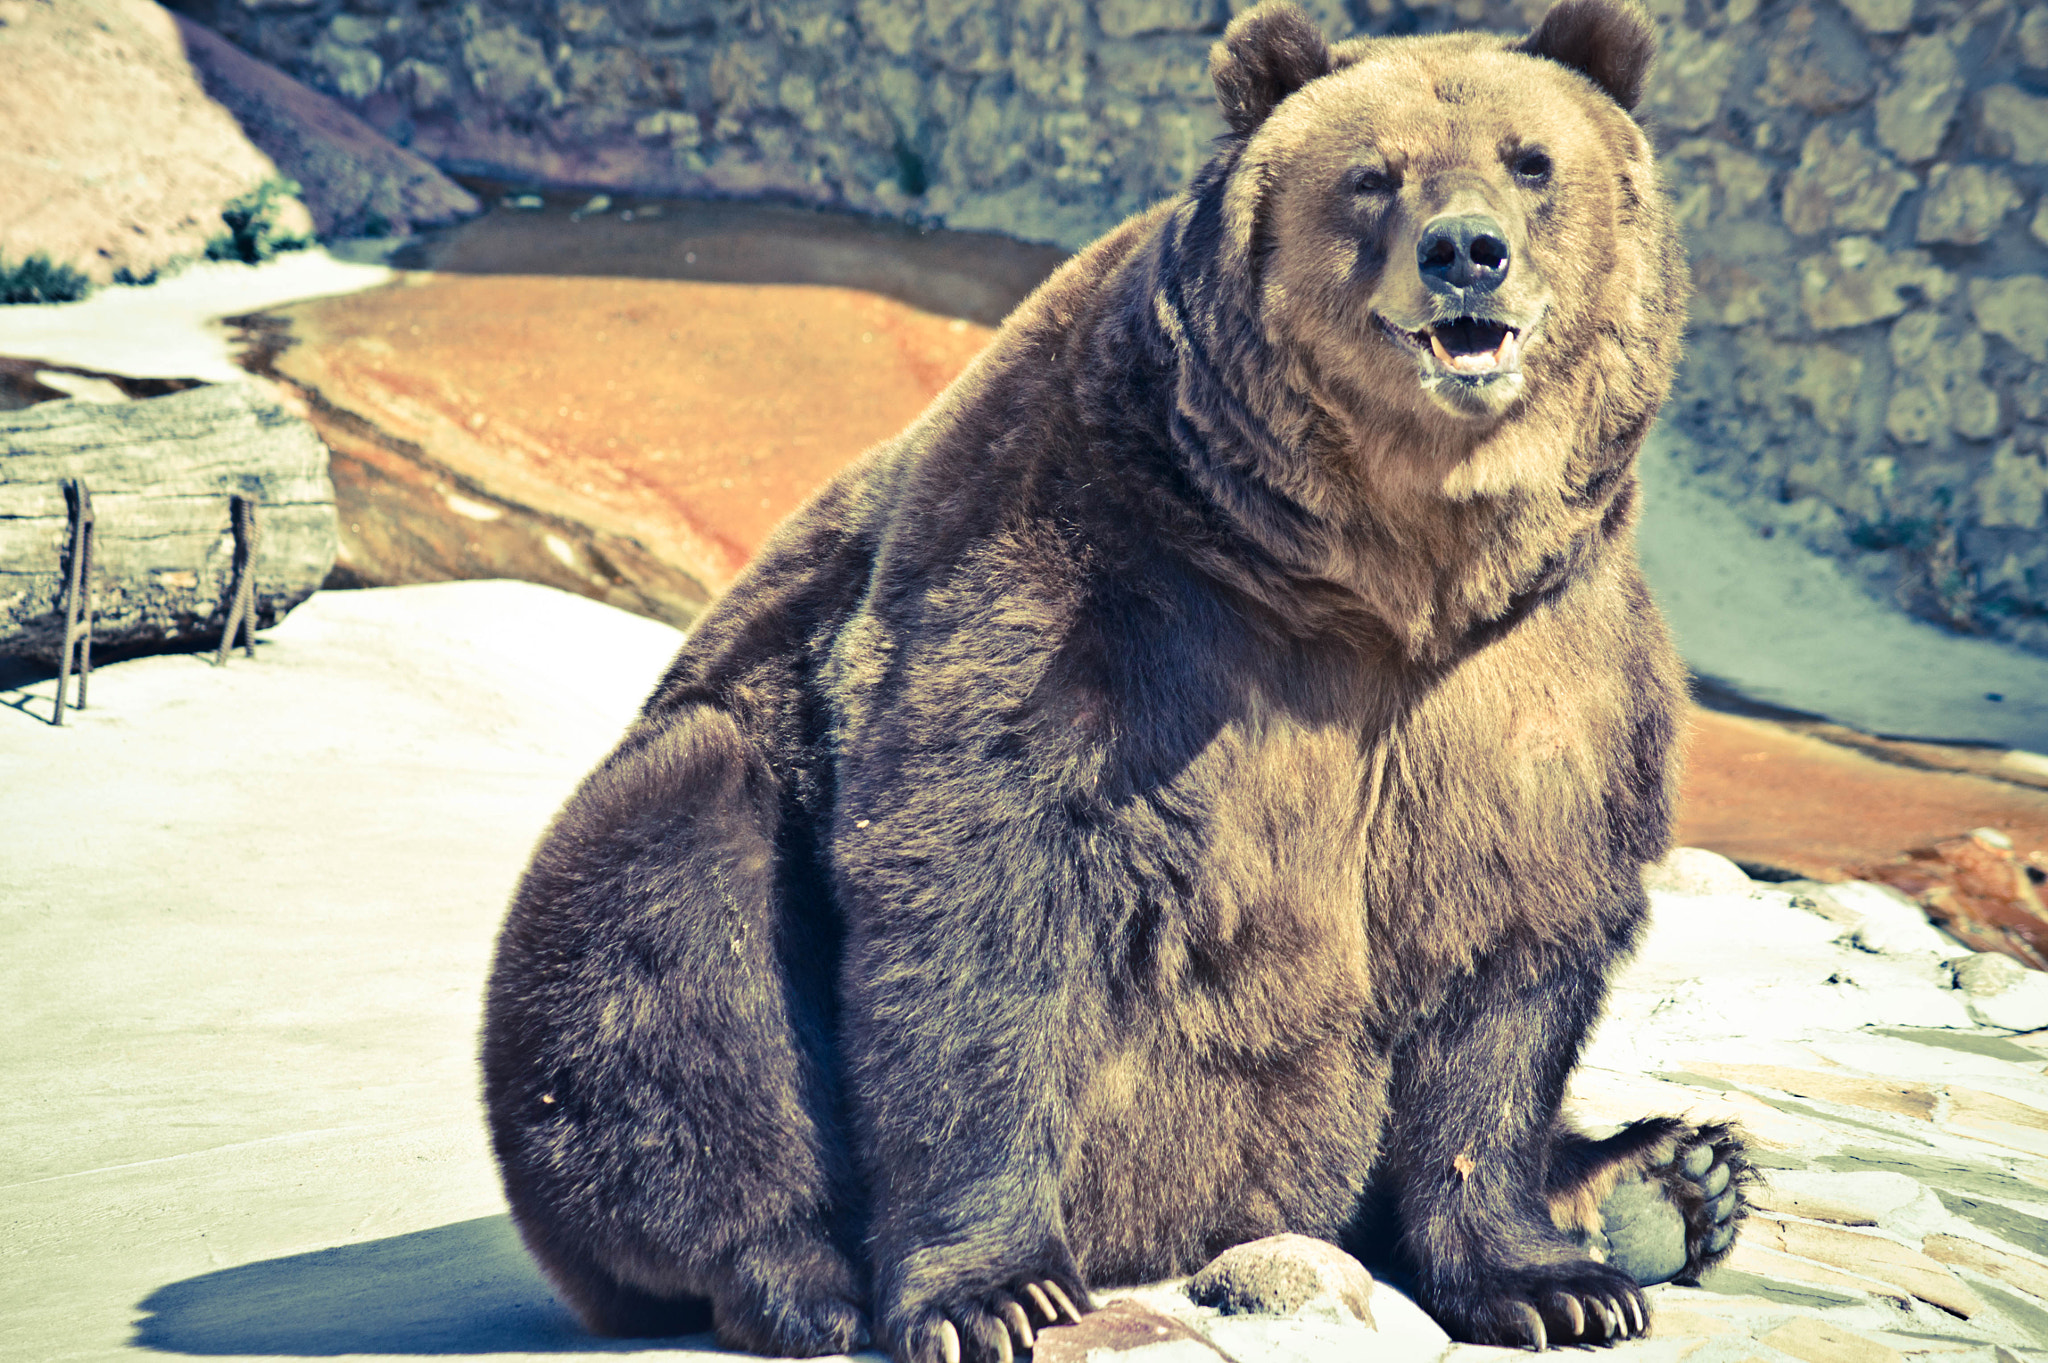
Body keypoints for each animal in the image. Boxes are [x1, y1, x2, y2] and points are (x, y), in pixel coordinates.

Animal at [480, 0, 1752, 1357]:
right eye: (1372, 176)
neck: (1382, 568)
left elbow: (1505, 939)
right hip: (699, 822)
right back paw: (802, 1274)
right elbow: (981, 894)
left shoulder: (1524, 671)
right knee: (671, 889)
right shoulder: (1086, 592)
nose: (1466, 252)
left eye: (1531, 161)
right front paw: (993, 1290)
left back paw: (1668, 1178)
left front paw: (1553, 1279)